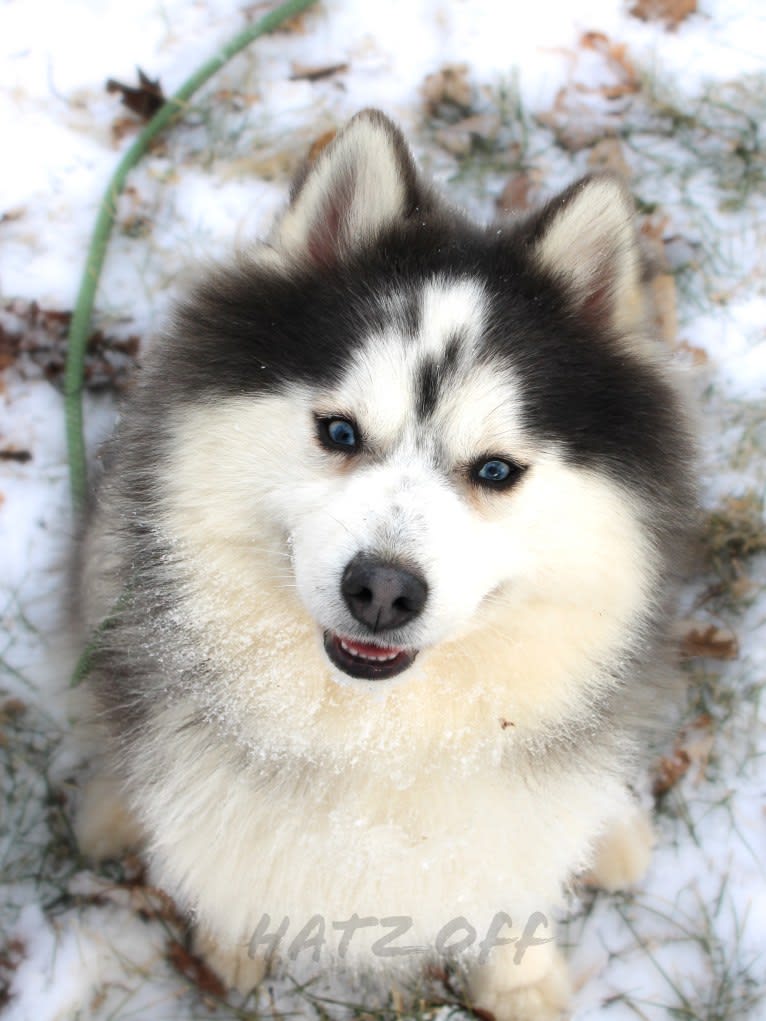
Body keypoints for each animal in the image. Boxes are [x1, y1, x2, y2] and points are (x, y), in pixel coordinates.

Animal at [75, 107, 698, 1016]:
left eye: (495, 471)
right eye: (339, 431)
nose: (381, 590)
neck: (380, 730)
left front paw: (521, 980)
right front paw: (229, 942)